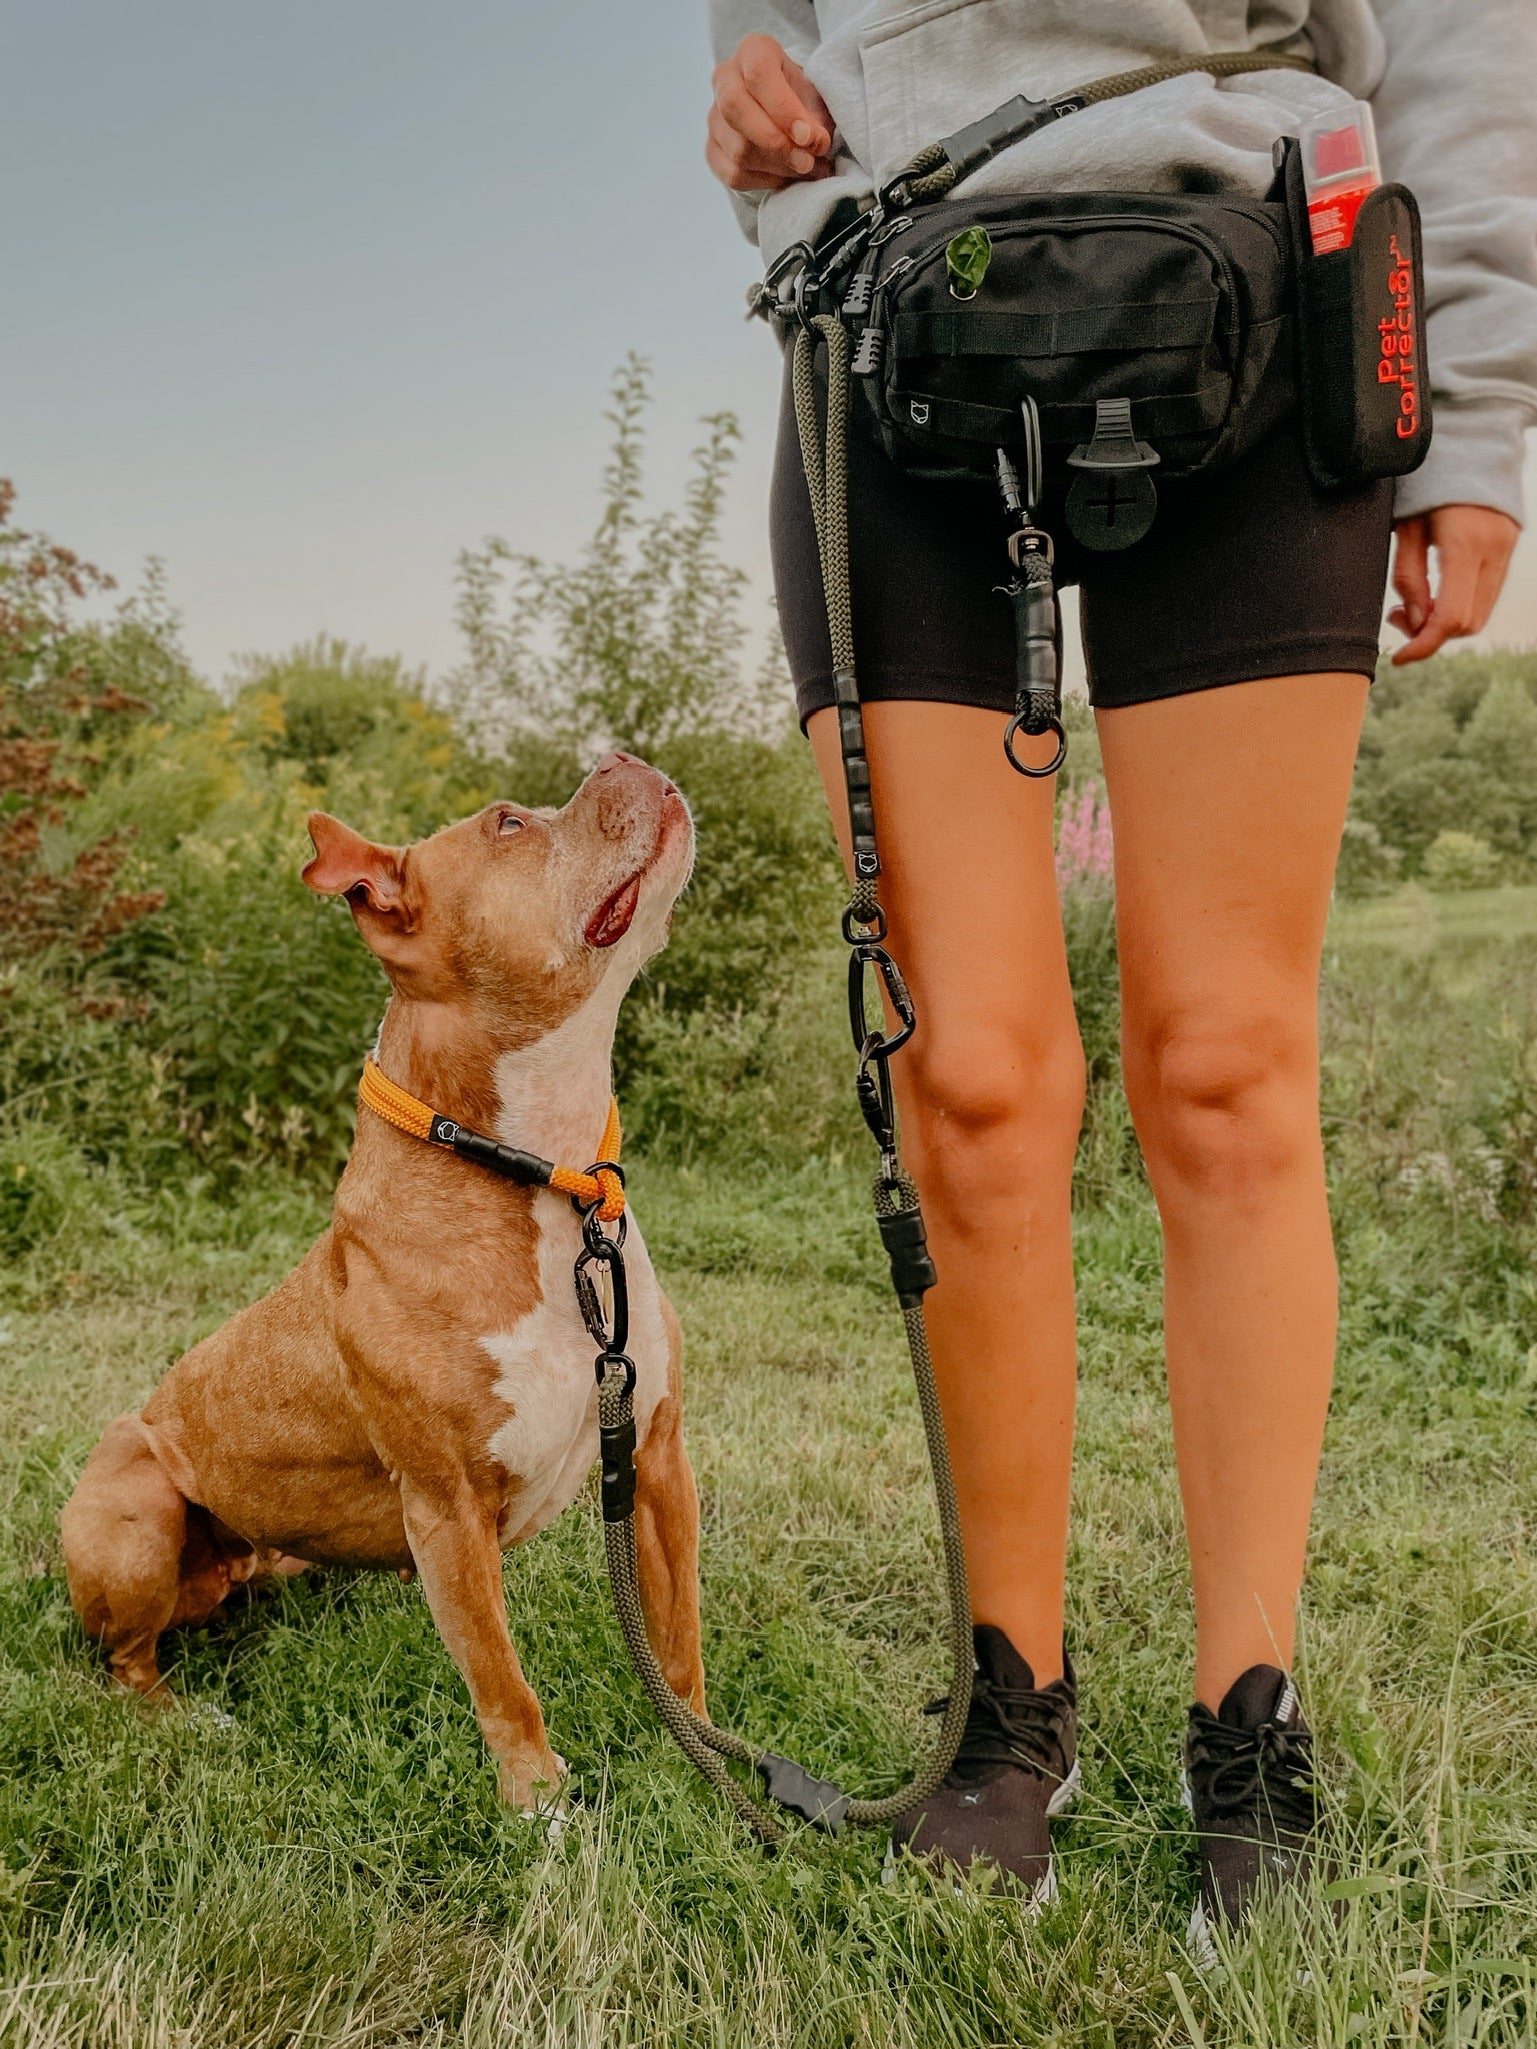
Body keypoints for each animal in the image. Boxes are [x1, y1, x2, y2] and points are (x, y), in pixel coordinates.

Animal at [60, 754, 709, 1811]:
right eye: (509, 822)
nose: (625, 759)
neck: (547, 1178)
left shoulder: (655, 1456)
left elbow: (678, 1639)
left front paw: (709, 1760)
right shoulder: (448, 1505)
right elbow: (504, 1680)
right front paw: (541, 1808)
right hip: (138, 1508)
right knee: (124, 1663)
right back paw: (183, 1717)